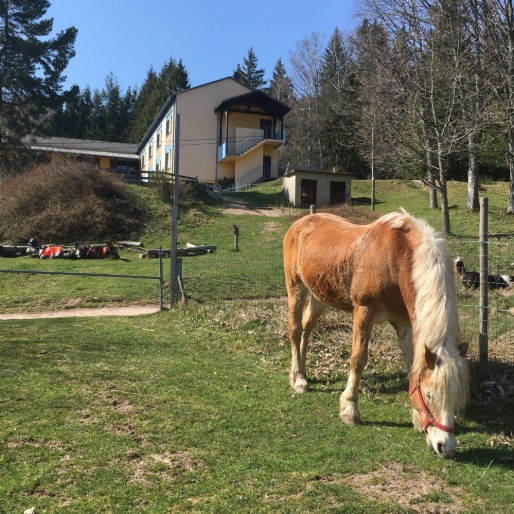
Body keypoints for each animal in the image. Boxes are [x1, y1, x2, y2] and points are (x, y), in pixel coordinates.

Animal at [282, 208, 470, 456]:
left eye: (458, 397)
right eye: (429, 394)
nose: (445, 447)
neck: (395, 260)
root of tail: (300, 222)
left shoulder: (403, 323)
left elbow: (411, 365)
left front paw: (416, 418)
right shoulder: (364, 312)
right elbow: (358, 359)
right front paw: (349, 410)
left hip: (319, 296)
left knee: (306, 329)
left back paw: (303, 373)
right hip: (296, 289)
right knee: (295, 331)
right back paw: (298, 380)